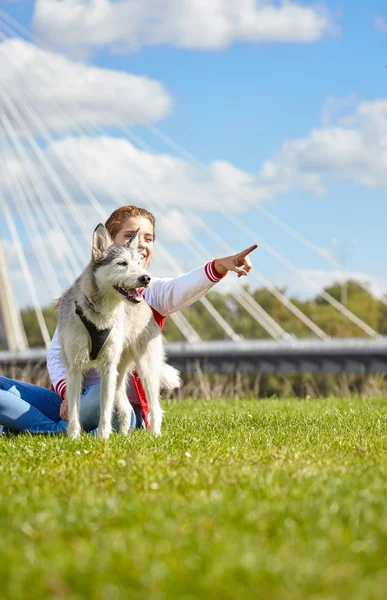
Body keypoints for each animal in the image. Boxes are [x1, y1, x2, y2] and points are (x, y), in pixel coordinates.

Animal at [57, 223, 180, 438]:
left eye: (138, 262)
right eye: (122, 263)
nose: (146, 278)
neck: (99, 313)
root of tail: (146, 305)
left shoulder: (107, 369)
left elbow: (105, 410)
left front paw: (103, 438)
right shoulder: (74, 369)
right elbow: (73, 411)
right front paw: (73, 438)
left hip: (145, 370)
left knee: (155, 408)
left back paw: (155, 435)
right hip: (119, 375)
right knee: (125, 408)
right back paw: (124, 435)